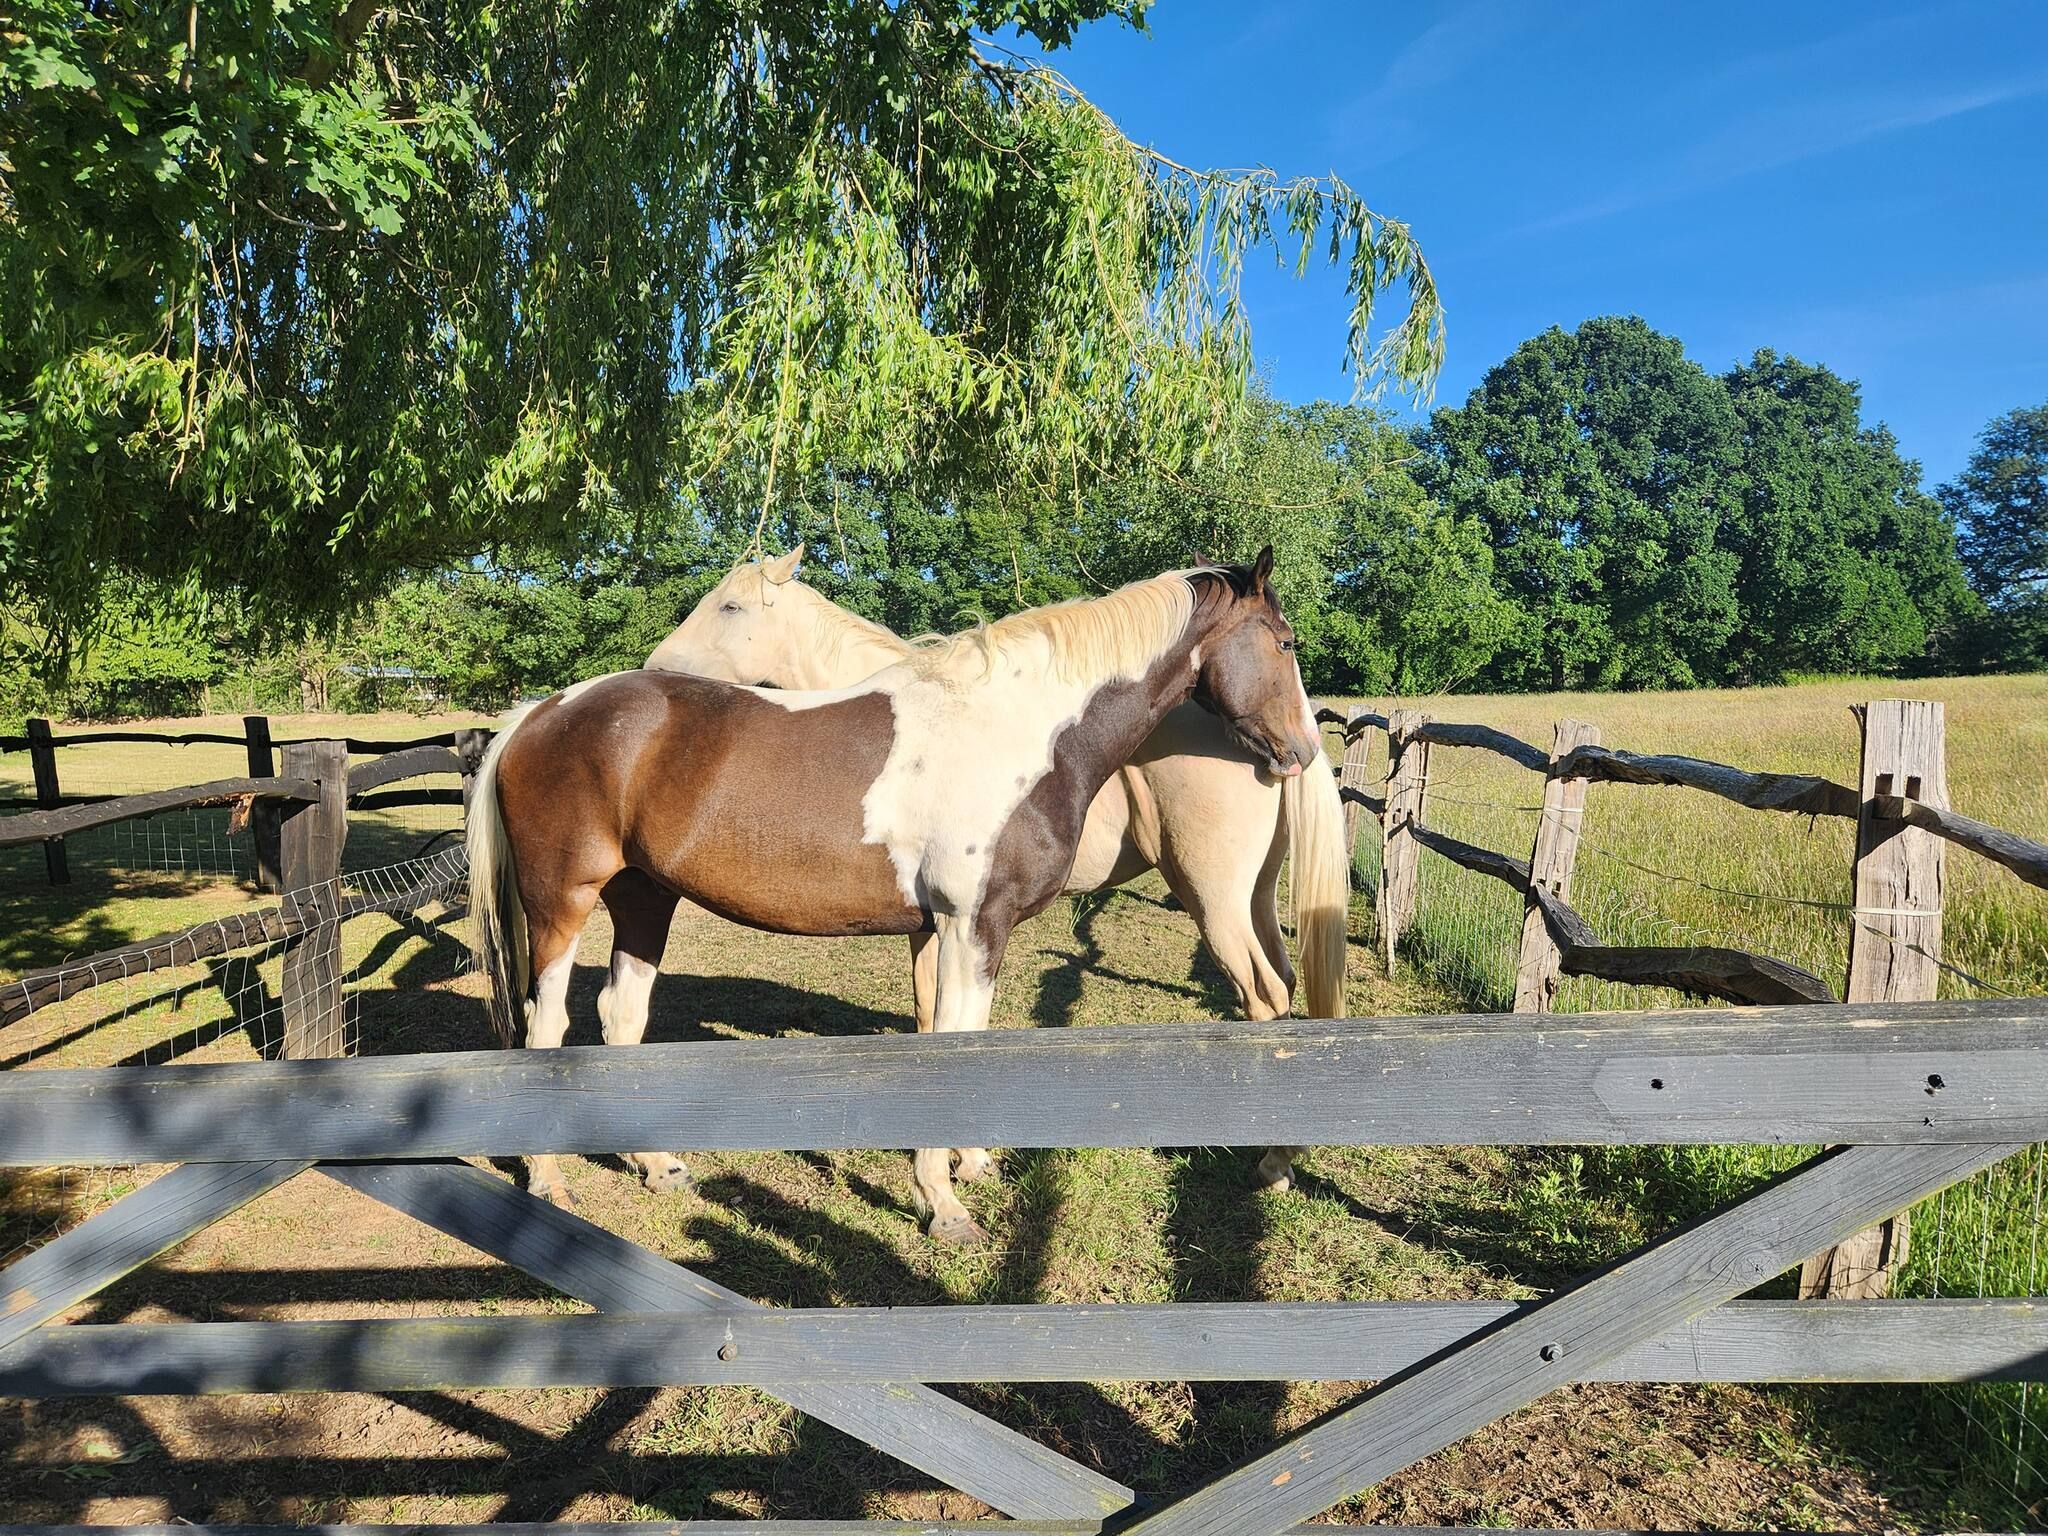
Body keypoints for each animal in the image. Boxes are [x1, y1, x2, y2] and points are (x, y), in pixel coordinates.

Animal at [467, 552, 1324, 1245]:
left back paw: (658, 1165)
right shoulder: (970, 924)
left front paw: (964, 1168)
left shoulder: (960, 929)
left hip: (646, 898)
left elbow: (958, 1038)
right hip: (562, 902)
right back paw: (549, 1179)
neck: (1020, 733)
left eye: (732, 607)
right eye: (1284, 642)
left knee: (622, 1017)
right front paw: (943, 1204)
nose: (1301, 750)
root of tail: (538, 713)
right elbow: (950, 1043)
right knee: (549, 1026)